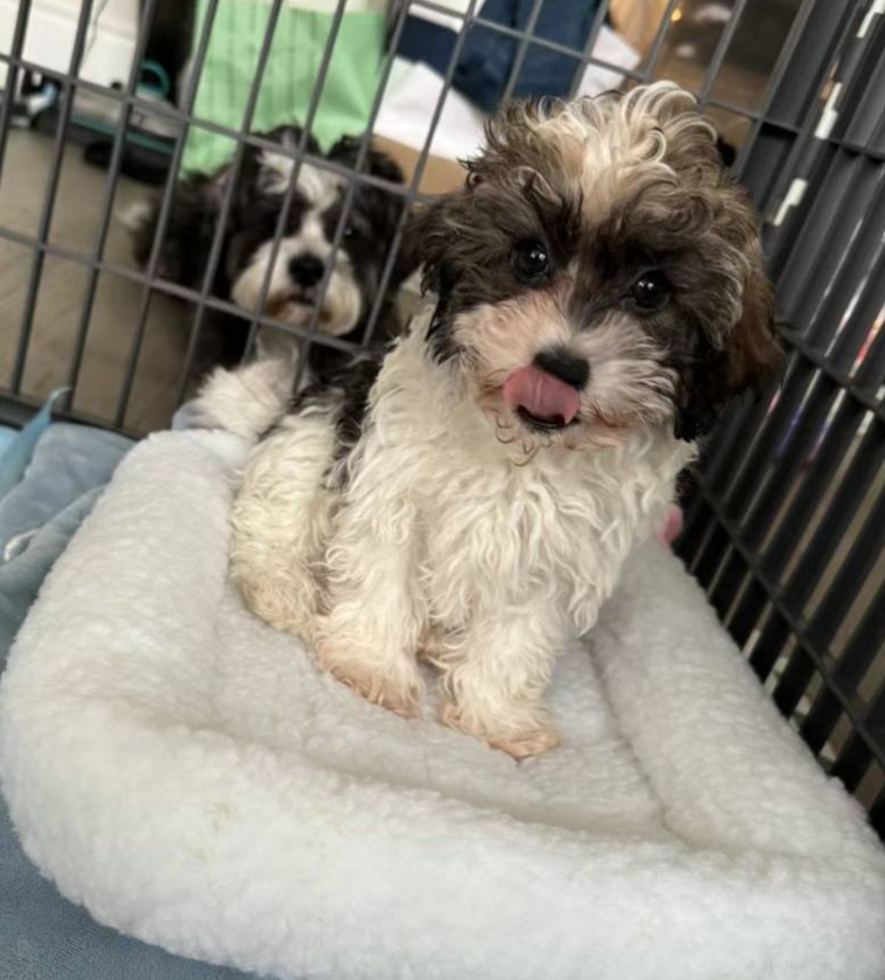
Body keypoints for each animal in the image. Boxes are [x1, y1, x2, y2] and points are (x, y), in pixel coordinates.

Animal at [216, 84, 780, 756]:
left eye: (651, 290)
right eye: (532, 257)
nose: (560, 365)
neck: (518, 445)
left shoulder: (555, 556)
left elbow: (518, 633)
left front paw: (494, 716)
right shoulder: (395, 487)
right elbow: (384, 569)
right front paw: (371, 665)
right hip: (311, 435)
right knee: (272, 523)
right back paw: (285, 590)